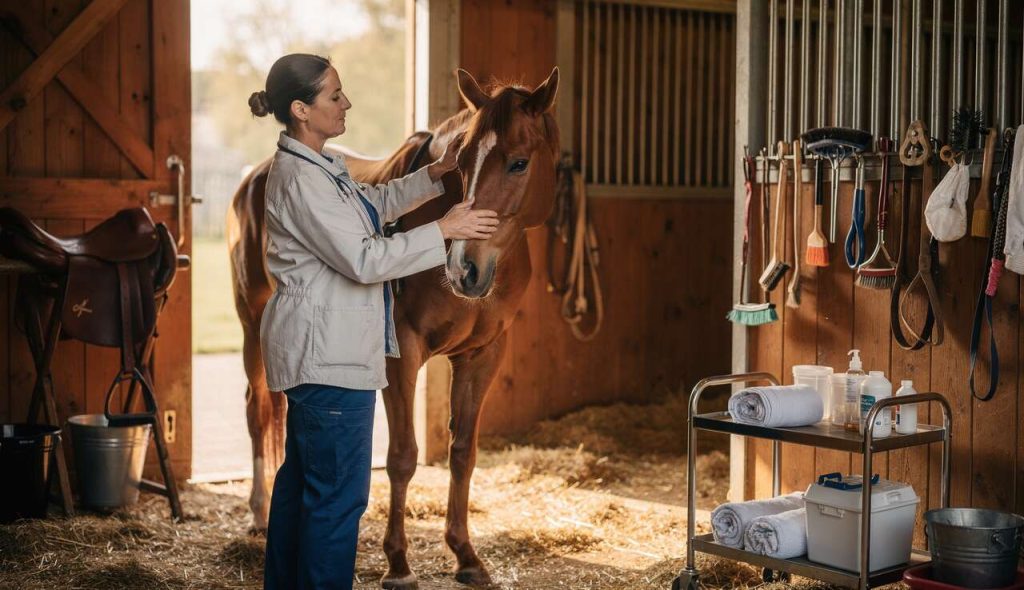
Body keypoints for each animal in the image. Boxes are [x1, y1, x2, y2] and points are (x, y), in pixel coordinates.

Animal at [227, 67, 560, 587]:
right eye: (465, 161)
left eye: (519, 163)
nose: (464, 268)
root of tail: (255, 175)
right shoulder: (400, 353)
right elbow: (402, 458)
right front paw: (398, 563)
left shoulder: (483, 354)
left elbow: (463, 453)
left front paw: (465, 555)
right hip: (251, 324)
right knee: (258, 408)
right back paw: (259, 512)